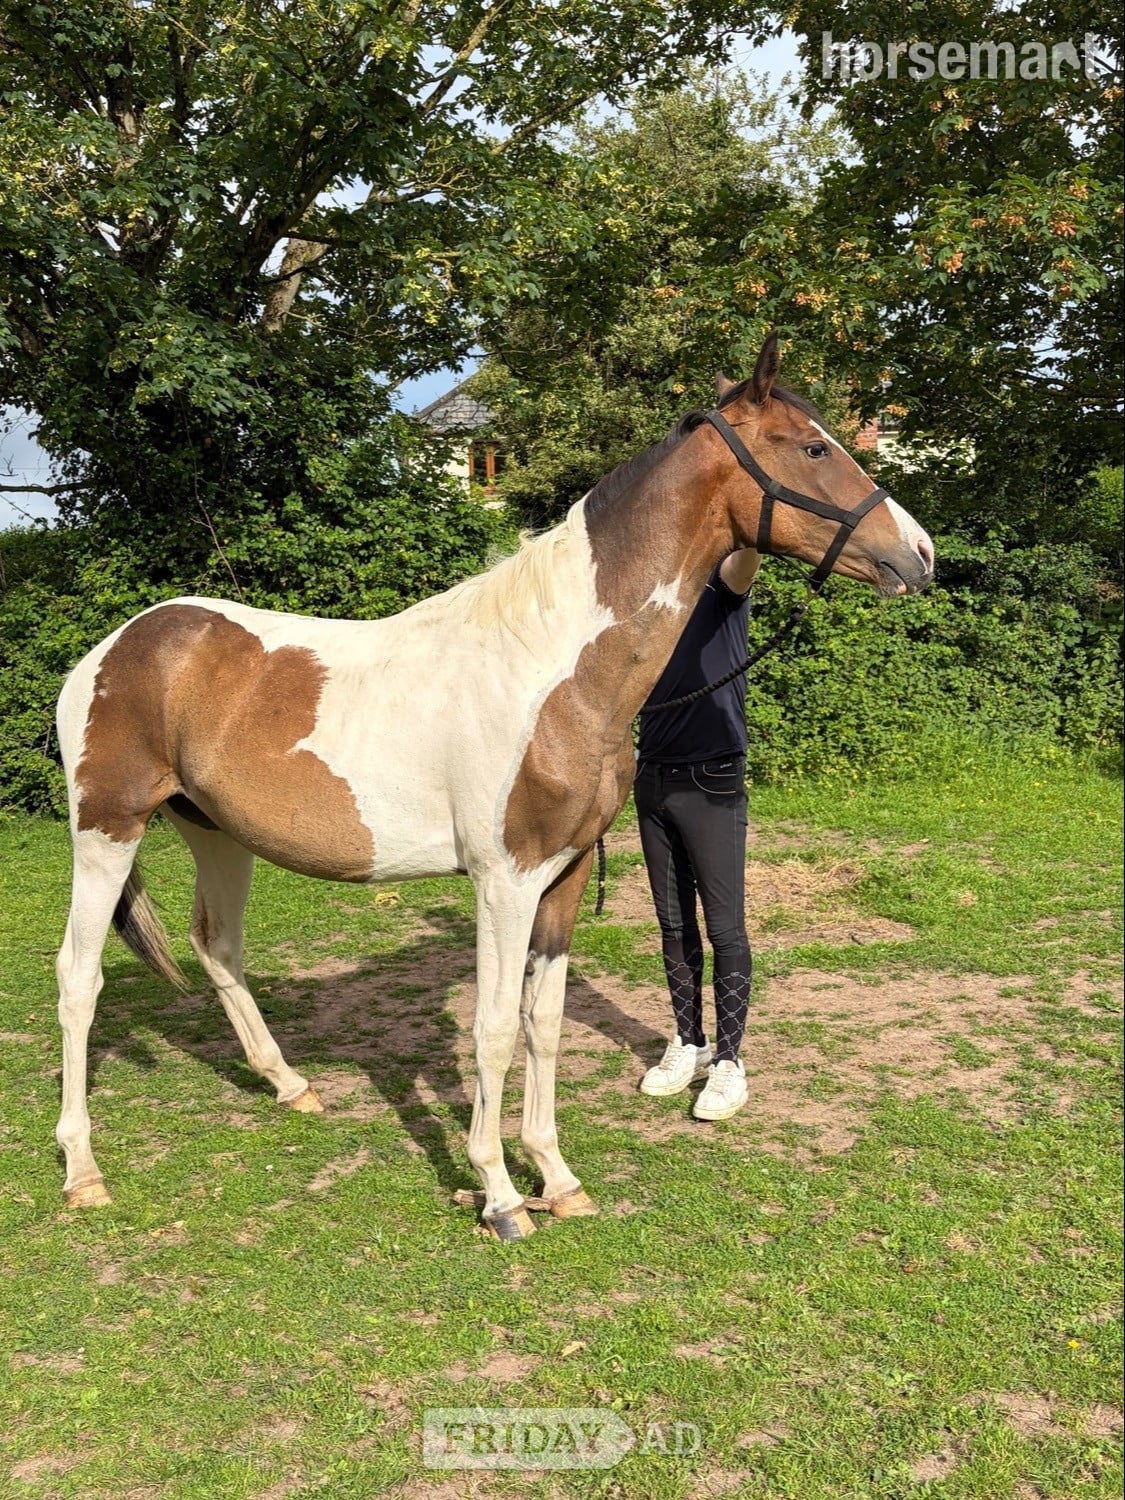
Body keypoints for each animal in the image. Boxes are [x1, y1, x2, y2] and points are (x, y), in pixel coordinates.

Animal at [52, 335, 933, 1240]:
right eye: (813, 448)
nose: (921, 555)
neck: (551, 668)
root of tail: (115, 649)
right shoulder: (503, 882)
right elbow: (495, 1029)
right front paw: (502, 1195)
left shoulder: (563, 876)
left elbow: (542, 1026)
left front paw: (558, 1177)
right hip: (107, 829)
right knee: (78, 979)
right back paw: (83, 1171)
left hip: (216, 834)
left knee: (217, 948)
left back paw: (291, 1087)